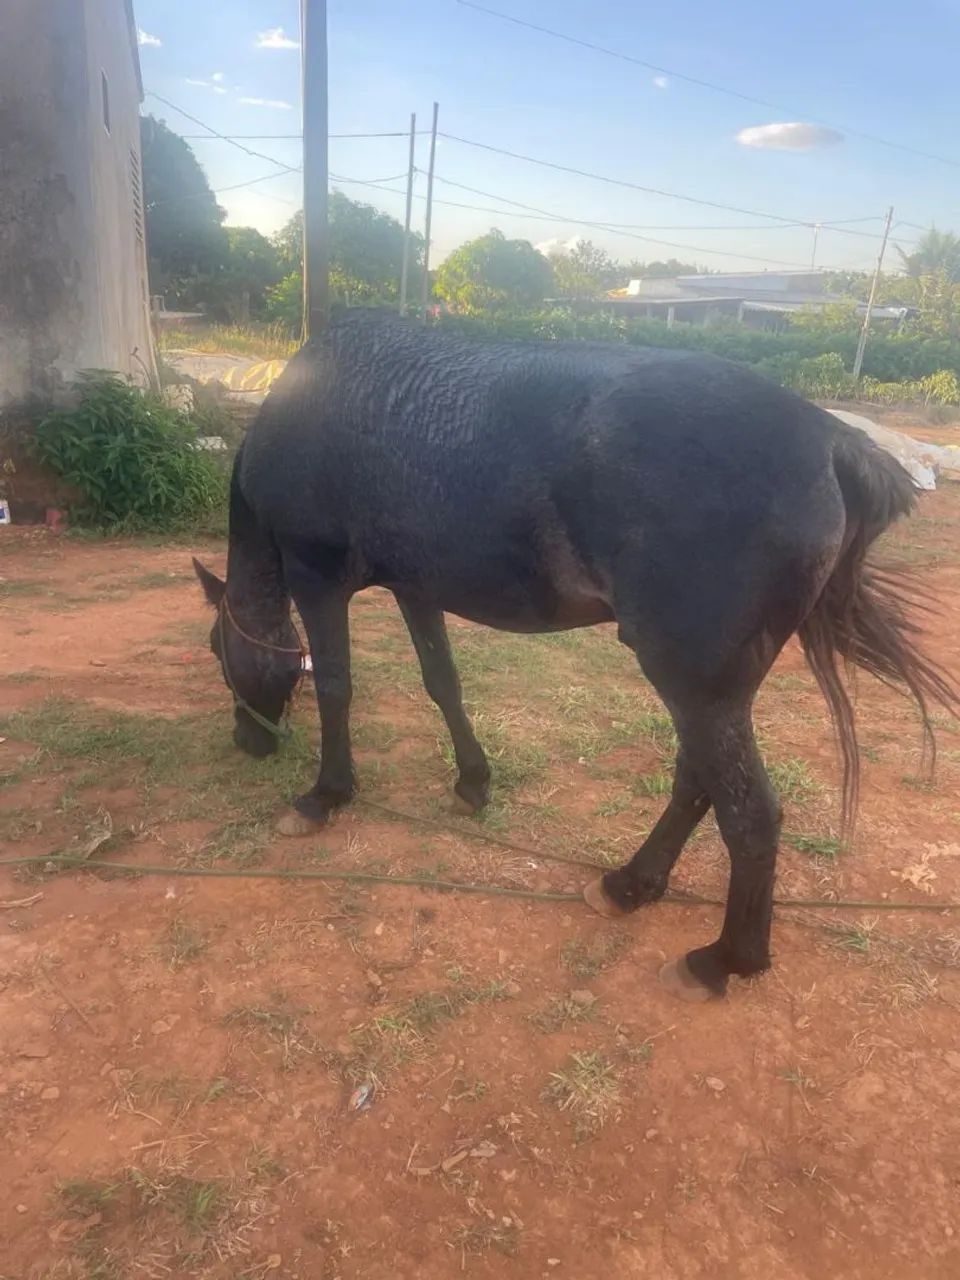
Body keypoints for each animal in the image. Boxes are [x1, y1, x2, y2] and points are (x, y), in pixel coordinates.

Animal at [193, 310, 956, 1002]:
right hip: (712, 689)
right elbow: (443, 681)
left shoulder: (317, 577)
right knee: (699, 782)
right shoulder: (417, 587)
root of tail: (830, 438)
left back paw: (723, 960)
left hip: (694, 684)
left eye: (216, 649)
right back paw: (630, 885)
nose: (247, 741)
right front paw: (473, 781)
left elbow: (336, 687)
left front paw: (325, 795)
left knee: (751, 816)